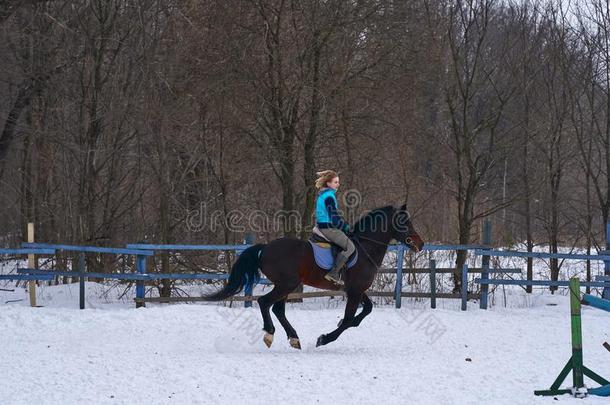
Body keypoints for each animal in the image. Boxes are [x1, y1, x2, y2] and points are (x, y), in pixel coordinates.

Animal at [204, 204, 422, 348]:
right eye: (404, 222)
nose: (420, 244)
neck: (365, 247)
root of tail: (265, 248)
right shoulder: (354, 291)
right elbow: (348, 319)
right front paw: (324, 338)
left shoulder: (357, 290)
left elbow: (366, 310)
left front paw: (346, 325)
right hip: (286, 284)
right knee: (265, 302)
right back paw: (270, 334)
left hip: (286, 286)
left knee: (278, 309)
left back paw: (294, 338)